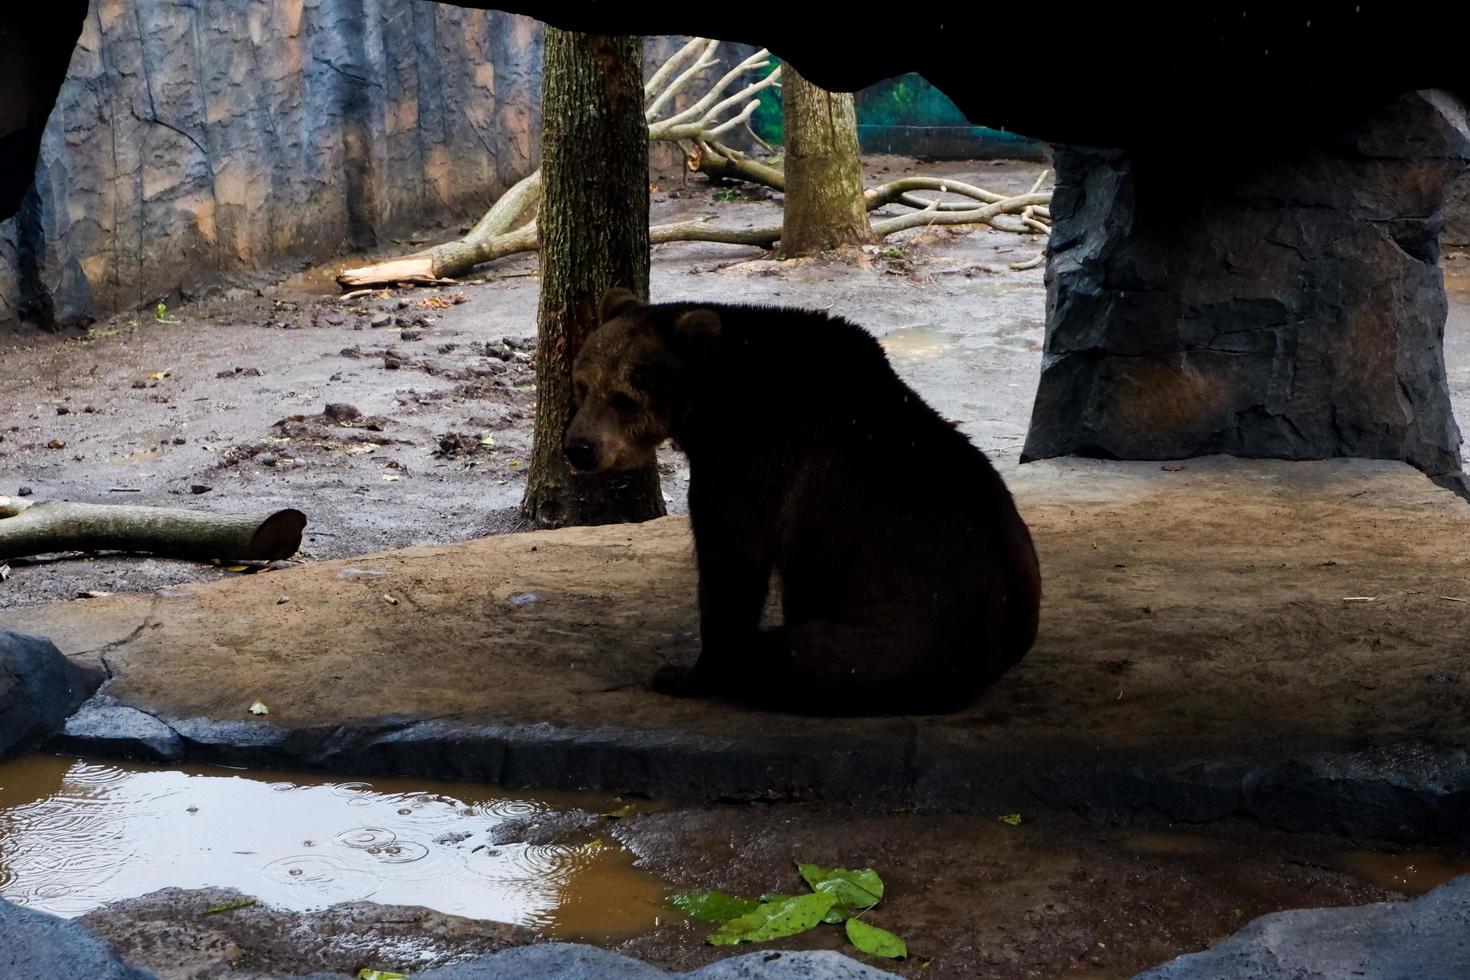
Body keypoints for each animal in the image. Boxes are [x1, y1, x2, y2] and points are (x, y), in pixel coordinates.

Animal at [564, 287, 1046, 717]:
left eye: (625, 398)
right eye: (582, 384)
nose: (579, 448)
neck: (718, 403)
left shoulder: (751, 461)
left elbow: (731, 565)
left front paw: (682, 675)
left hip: (890, 640)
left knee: (775, 656)